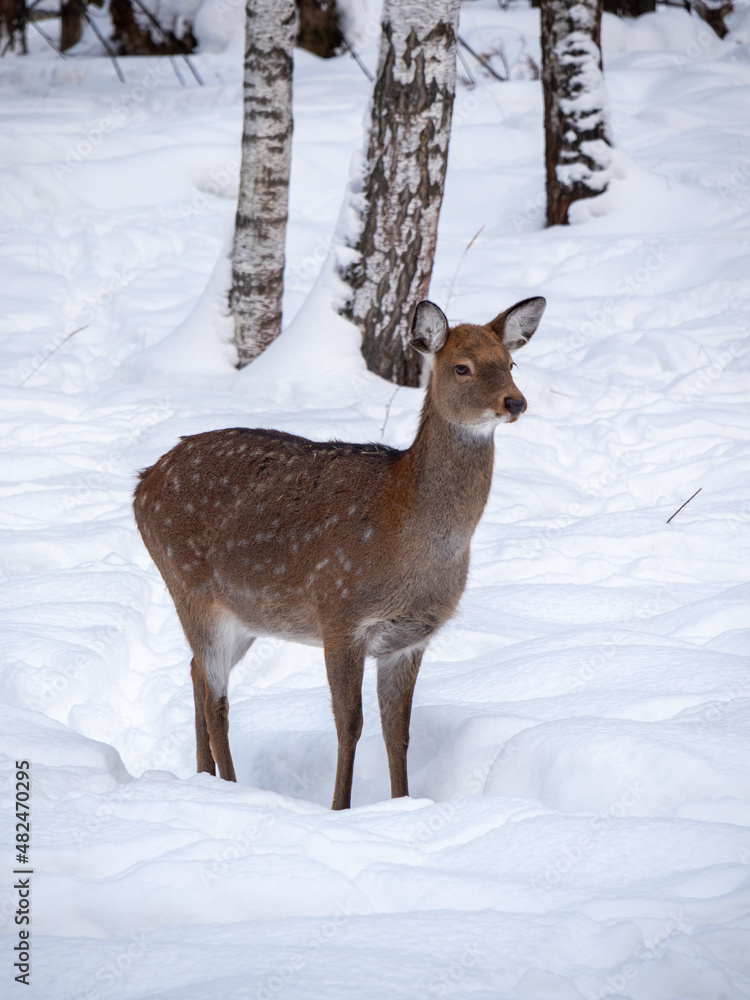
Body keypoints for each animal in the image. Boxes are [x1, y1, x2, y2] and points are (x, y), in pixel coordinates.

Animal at [134, 294, 548, 804]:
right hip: (189, 586)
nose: (515, 401)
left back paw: (203, 778)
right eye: (462, 367)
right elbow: (349, 724)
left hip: (244, 615)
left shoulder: (409, 639)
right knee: (217, 699)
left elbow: (397, 731)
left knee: (194, 671)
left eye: (510, 362)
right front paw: (339, 808)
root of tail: (141, 485)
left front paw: (401, 803)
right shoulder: (339, 613)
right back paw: (232, 789)